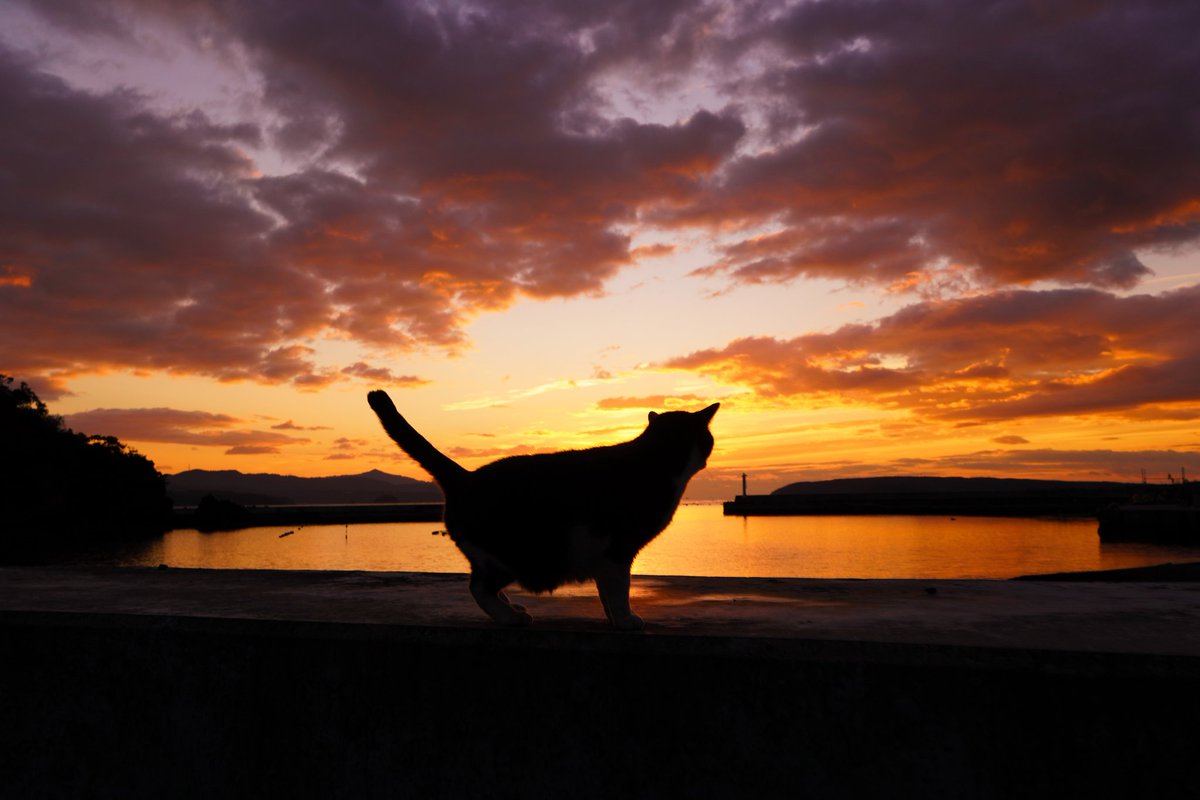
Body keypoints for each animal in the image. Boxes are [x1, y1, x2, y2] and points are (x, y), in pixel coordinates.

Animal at [364, 391, 715, 628]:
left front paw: (614, 619)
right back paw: (509, 617)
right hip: (510, 555)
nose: (710, 453)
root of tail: (465, 477)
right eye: (709, 439)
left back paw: (511, 608)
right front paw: (627, 620)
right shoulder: (618, 549)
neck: (656, 460)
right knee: (478, 587)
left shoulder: (604, 557)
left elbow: (606, 591)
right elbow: (619, 589)